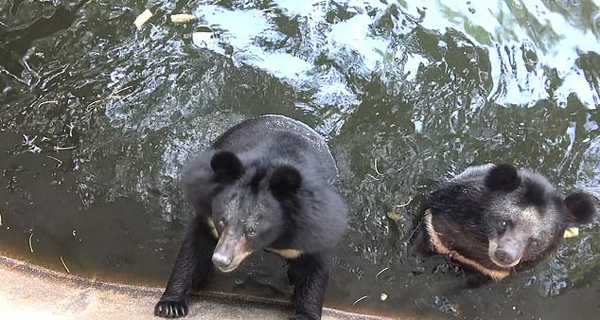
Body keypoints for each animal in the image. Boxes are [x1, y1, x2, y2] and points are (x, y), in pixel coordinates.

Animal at [155, 115, 346, 320]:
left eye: (252, 230)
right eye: (222, 221)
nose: (221, 259)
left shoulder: (315, 223)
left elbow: (314, 267)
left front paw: (305, 315)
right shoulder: (207, 214)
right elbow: (195, 249)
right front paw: (170, 305)